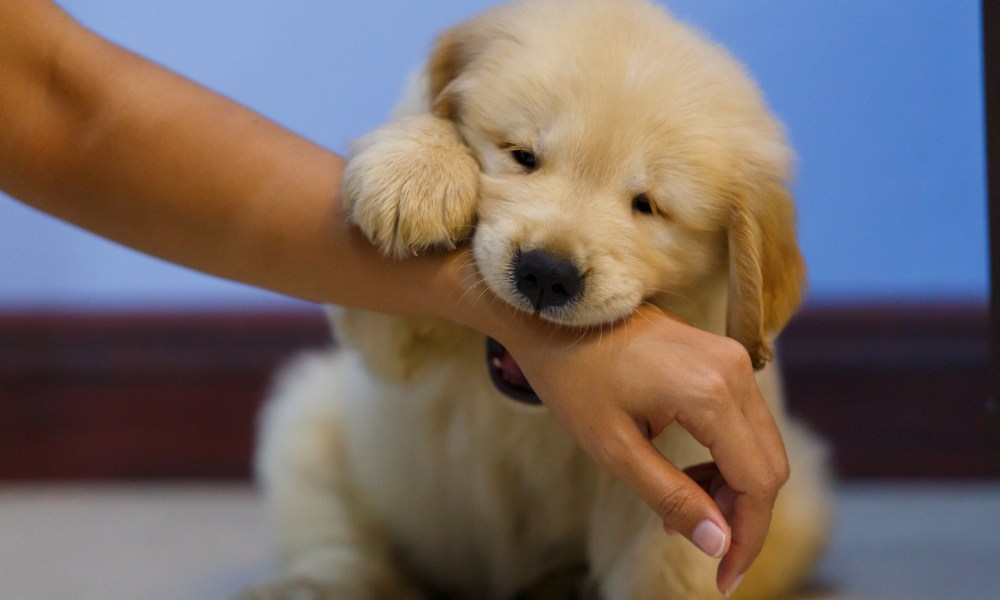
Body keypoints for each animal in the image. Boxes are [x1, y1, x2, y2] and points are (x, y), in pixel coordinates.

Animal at [246, 1, 832, 600]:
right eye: (523, 156)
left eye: (647, 205)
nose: (547, 274)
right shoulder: (385, 336)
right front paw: (414, 172)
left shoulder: (687, 475)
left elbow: (663, 571)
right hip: (306, 420)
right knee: (340, 547)